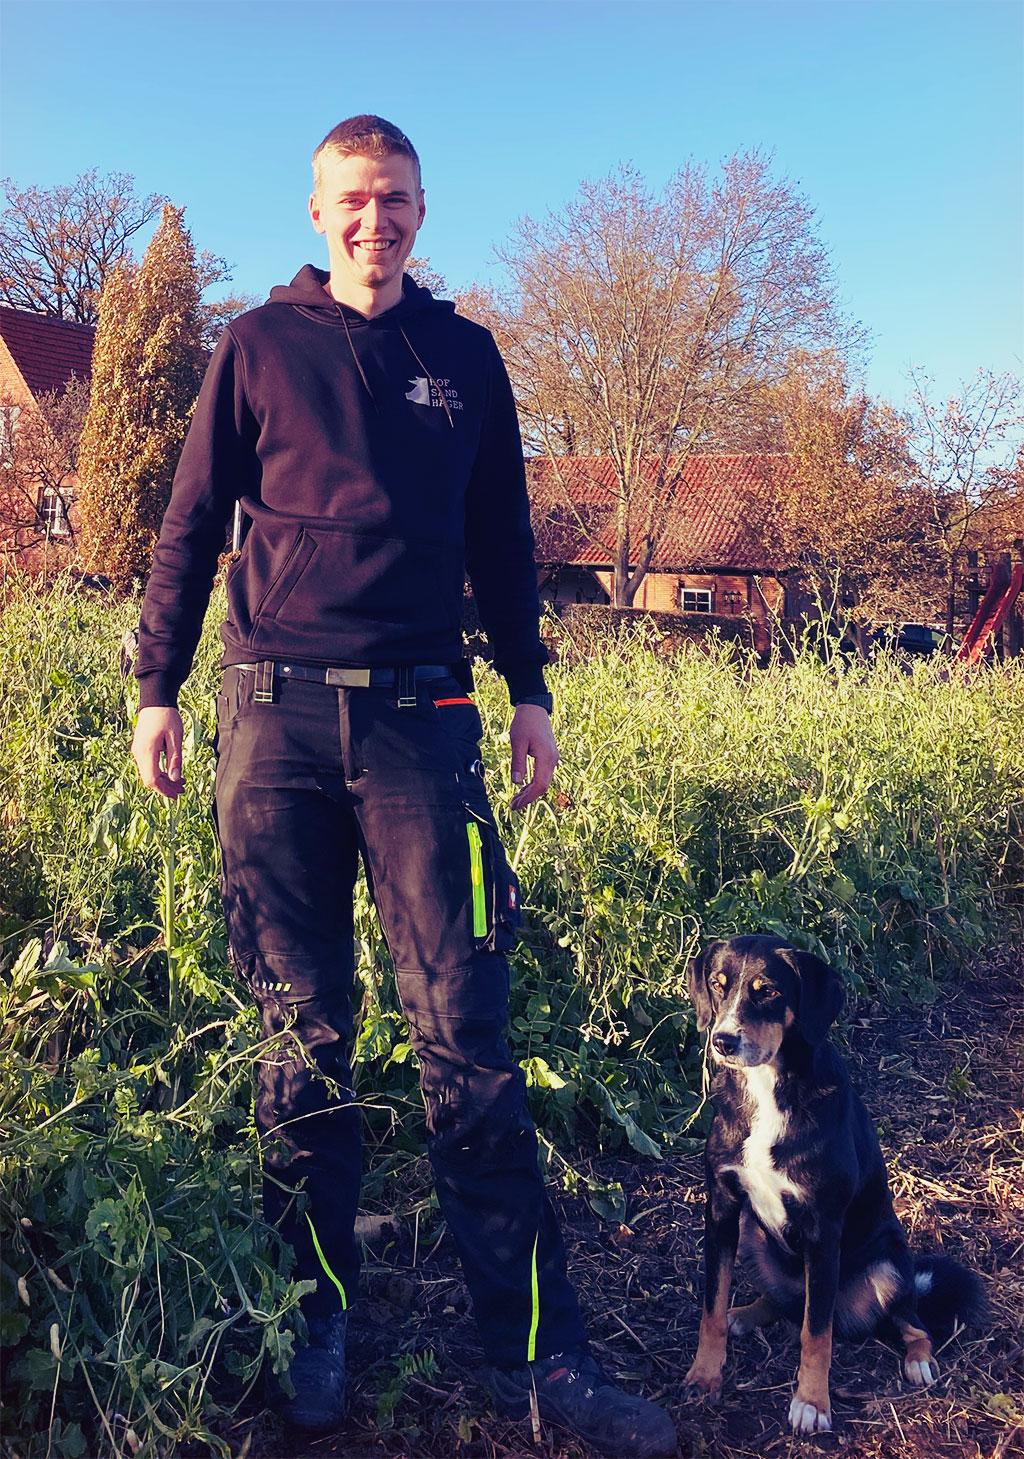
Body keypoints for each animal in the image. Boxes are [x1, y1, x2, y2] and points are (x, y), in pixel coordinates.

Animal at [682, 939, 986, 1429]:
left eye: (768, 991)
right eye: (717, 984)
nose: (723, 1041)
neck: (769, 1089)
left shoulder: (823, 1228)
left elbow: (817, 1334)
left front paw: (812, 1403)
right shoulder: (723, 1209)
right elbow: (711, 1307)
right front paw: (705, 1375)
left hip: (888, 1264)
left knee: (908, 1321)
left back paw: (919, 1360)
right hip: (752, 1233)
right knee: (786, 1303)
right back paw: (743, 1315)